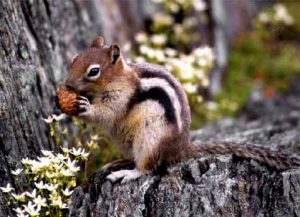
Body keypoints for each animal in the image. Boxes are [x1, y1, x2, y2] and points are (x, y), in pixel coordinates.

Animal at [57, 36, 298, 182]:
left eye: (94, 71)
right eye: (74, 59)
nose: (67, 84)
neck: (118, 78)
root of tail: (181, 149)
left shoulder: (121, 97)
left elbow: (107, 113)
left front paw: (85, 107)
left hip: (150, 139)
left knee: (147, 166)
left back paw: (127, 173)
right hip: (127, 141)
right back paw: (116, 163)